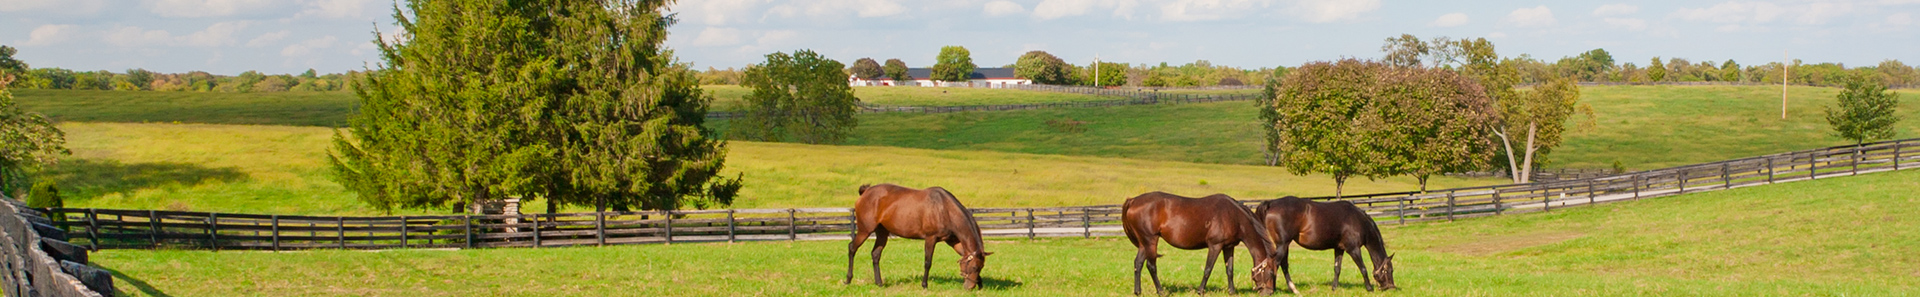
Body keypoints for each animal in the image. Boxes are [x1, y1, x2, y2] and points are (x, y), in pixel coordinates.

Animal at [844, 182, 998, 289]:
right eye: (973, 268)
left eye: (980, 268)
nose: (969, 287)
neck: (944, 209)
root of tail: (865, 192)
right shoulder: (930, 238)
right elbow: (927, 262)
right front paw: (924, 285)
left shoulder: (954, 241)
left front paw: (980, 284)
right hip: (865, 230)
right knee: (852, 248)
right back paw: (848, 279)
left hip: (882, 232)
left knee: (875, 254)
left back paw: (879, 283)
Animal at [1121, 191, 1282, 295]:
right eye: (1270, 273)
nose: (1269, 292)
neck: (1234, 217)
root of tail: (1133, 200)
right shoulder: (1215, 246)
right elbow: (1208, 269)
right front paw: (1200, 290)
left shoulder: (1228, 247)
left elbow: (1229, 269)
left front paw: (1232, 291)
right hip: (1151, 240)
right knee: (1151, 265)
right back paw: (1161, 291)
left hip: (1144, 243)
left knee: (1138, 264)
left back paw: (1138, 291)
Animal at [1251, 194, 1405, 293]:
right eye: (1389, 270)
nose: (1391, 287)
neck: (1358, 221)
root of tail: (1272, 203)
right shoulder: (1353, 249)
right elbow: (1363, 268)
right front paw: (1369, 288)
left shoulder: (1339, 248)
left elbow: (1337, 268)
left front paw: (1334, 288)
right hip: (1283, 244)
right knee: (1274, 264)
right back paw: (1272, 289)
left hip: (1284, 245)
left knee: (1282, 265)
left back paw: (1291, 288)